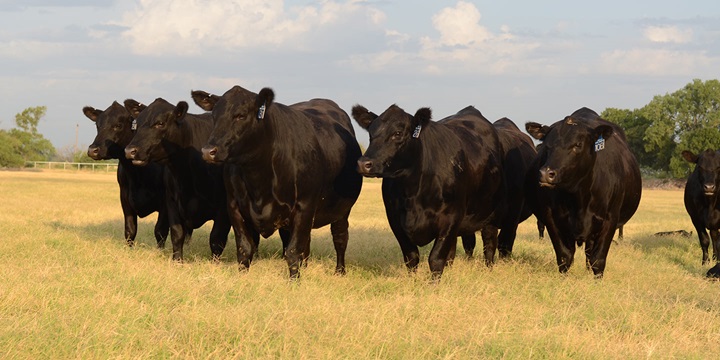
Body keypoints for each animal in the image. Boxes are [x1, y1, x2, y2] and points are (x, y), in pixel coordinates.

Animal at [83, 101, 168, 248]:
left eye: (118, 125)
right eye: (97, 125)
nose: (93, 150)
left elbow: (160, 231)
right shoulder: (124, 196)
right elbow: (130, 230)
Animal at [124, 98, 229, 262]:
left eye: (160, 123)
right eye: (136, 125)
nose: (130, 151)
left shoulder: (224, 207)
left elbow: (217, 239)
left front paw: (215, 264)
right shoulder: (171, 200)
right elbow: (177, 233)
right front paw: (177, 261)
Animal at [191, 85, 362, 278]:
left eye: (241, 115)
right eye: (214, 116)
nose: (208, 151)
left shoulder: (305, 206)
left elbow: (293, 251)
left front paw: (294, 281)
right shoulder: (234, 206)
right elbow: (244, 248)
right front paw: (242, 277)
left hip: (342, 211)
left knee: (340, 238)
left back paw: (340, 271)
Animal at [354, 104, 506, 282]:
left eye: (397, 133)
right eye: (371, 133)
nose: (364, 163)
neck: (412, 193)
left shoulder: (451, 217)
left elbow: (436, 258)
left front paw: (434, 285)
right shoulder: (395, 219)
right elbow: (411, 257)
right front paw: (412, 282)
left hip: (491, 214)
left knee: (489, 244)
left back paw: (488, 269)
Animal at [524, 107, 640, 278]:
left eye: (578, 144)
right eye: (547, 145)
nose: (546, 174)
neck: (578, 198)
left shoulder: (610, 219)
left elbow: (598, 260)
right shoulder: (551, 218)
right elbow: (564, 257)